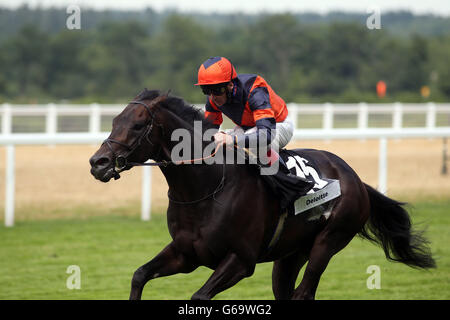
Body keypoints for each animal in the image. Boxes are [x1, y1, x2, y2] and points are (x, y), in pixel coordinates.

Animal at [89, 90, 436, 300]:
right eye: (114, 120)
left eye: (137, 125)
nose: (98, 162)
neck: (205, 189)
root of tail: (356, 179)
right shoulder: (186, 254)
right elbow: (139, 275)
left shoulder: (241, 260)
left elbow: (199, 296)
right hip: (290, 254)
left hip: (329, 240)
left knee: (304, 291)